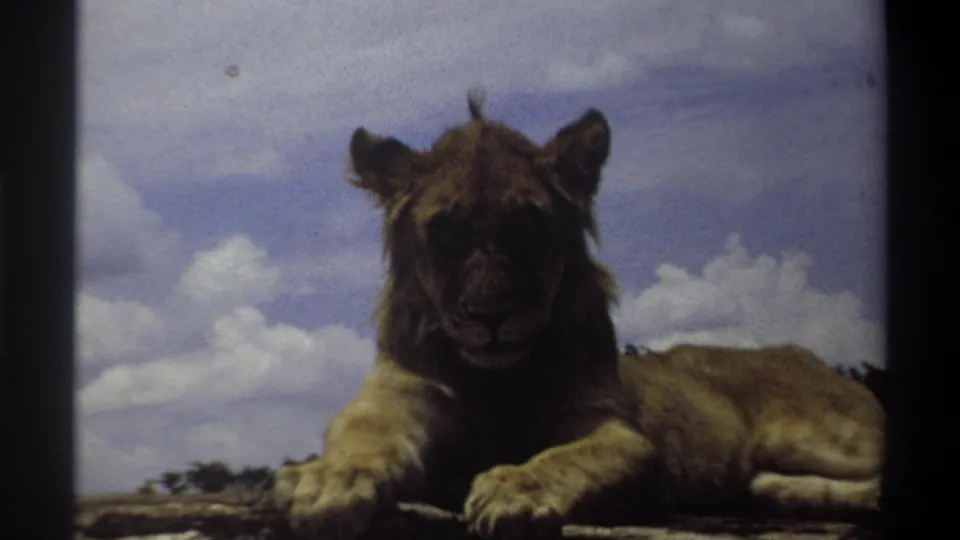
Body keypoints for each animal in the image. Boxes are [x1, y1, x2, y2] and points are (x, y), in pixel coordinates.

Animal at [273, 93, 882, 539]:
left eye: (528, 224)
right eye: (445, 230)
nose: (490, 317)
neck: (494, 381)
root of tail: (804, 353)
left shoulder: (616, 429)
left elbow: (573, 457)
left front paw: (516, 489)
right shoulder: (396, 398)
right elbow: (362, 438)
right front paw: (325, 481)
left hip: (822, 434)